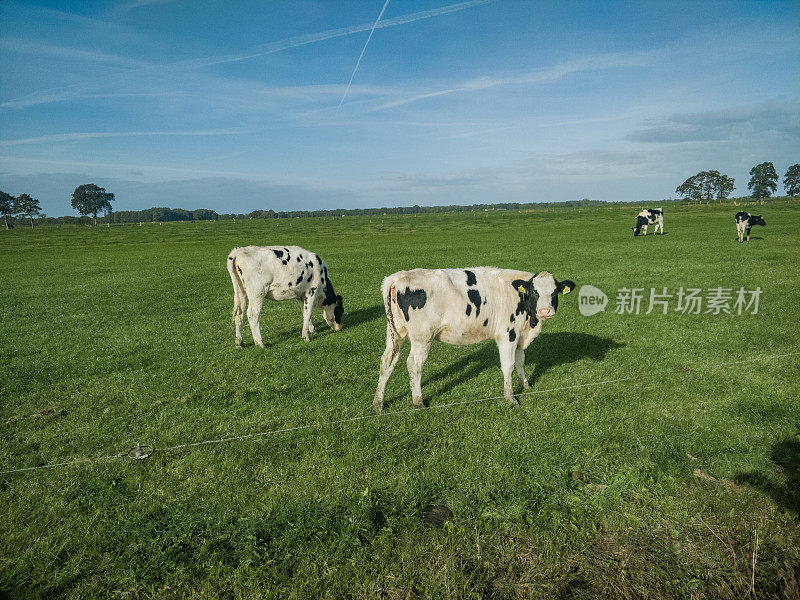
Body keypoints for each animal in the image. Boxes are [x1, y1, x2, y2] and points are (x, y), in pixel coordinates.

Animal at [374, 268, 576, 412]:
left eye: (554, 293)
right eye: (534, 292)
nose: (545, 311)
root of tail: (397, 277)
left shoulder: (520, 335)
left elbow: (520, 361)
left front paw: (525, 384)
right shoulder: (508, 334)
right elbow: (508, 365)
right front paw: (510, 397)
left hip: (395, 334)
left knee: (387, 361)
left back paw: (378, 404)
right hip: (422, 337)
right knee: (414, 364)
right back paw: (418, 402)